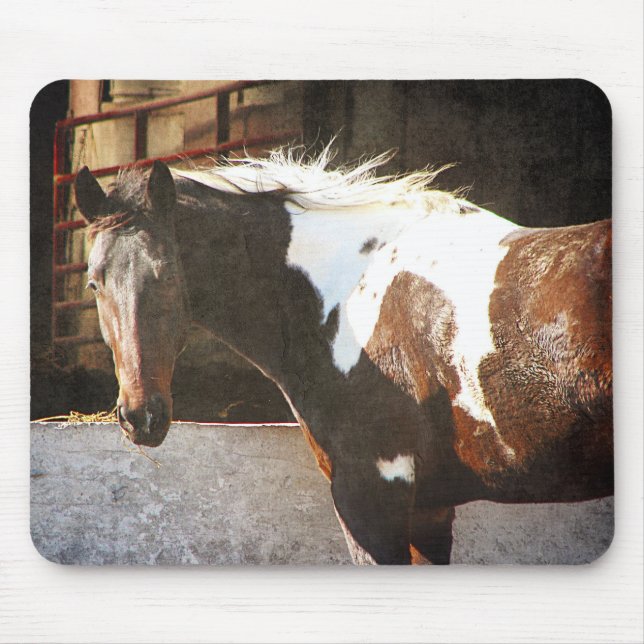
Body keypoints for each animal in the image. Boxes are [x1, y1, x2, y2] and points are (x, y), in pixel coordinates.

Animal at [73, 149, 613, 565]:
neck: (347, 292)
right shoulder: (429, 509)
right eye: (94, 283)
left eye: (167, 277)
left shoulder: (370, 494)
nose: (141, 416)